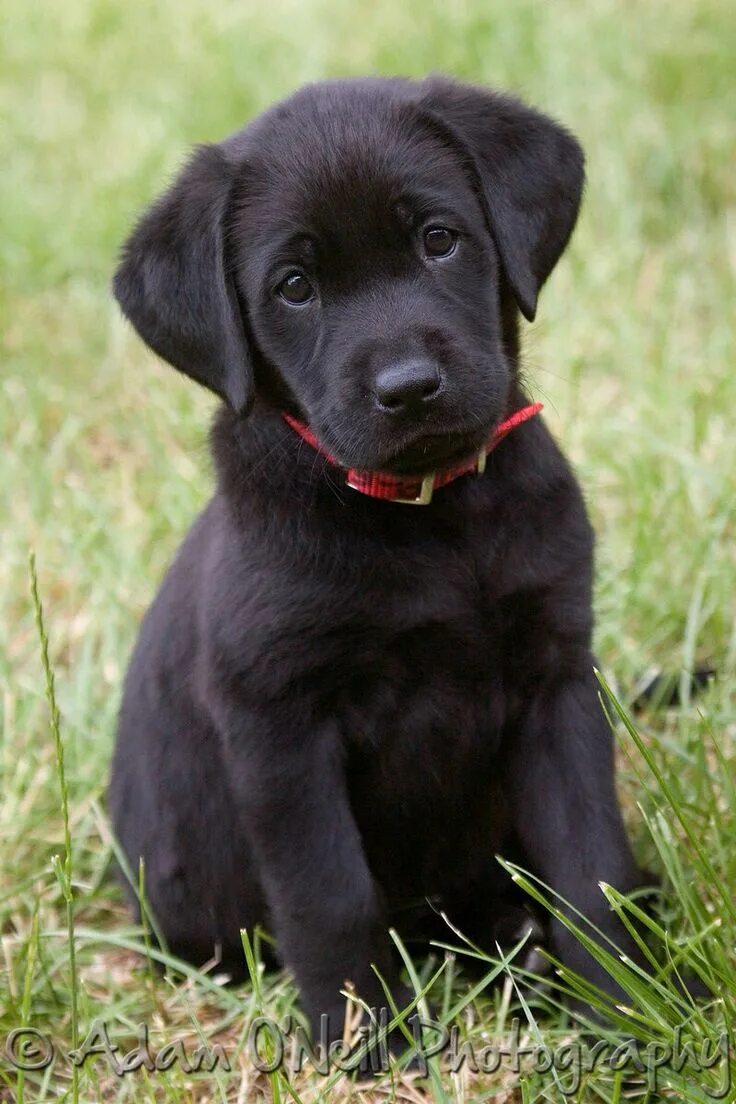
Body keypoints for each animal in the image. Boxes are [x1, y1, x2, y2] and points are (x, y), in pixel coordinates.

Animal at [108, 75, 644, 1042]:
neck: (428, 519)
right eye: (294, 287)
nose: (409, 388)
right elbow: (331, 895)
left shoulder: (556, 679)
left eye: (438, 240)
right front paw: (364, 1041)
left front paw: (631, 1010)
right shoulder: (279, 722)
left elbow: (593, 863)